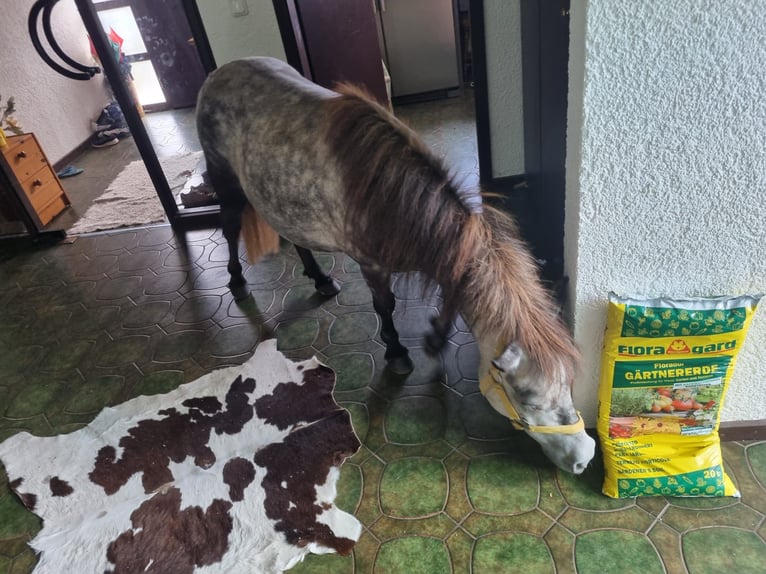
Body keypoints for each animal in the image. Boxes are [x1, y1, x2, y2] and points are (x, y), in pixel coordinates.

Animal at [195, 58, 596, 474]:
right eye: (528, 398)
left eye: (568, 384)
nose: (585, 457)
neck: (390, 197)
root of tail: (220, 73)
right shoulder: (372, 264)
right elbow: (384, 306)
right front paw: (398, 353)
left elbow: (450, 297)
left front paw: (435, 339)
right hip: (225, 180)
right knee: (229, 227)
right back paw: (237, 282)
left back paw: (321, 280)